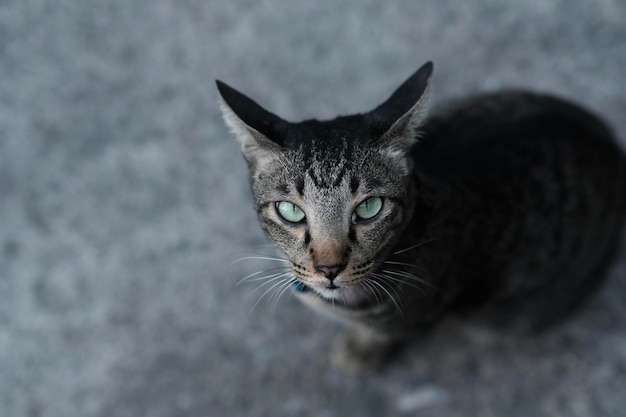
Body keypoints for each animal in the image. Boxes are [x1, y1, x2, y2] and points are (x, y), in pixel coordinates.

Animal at [216, 62, 624, 374]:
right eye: (291, 211)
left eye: (369, 208)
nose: (329, 268)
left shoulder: (418, 316)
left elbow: (386, 334)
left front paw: (361, 353)